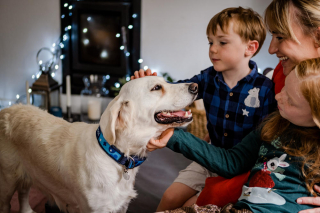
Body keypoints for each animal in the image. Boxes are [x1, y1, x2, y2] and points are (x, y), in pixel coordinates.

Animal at [0, 76, 199, 213]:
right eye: (156, 87)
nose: (195, 86)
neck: (115, 154)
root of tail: (7, 109)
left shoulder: (121, 206)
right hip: (7, 182)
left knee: (23, 194)